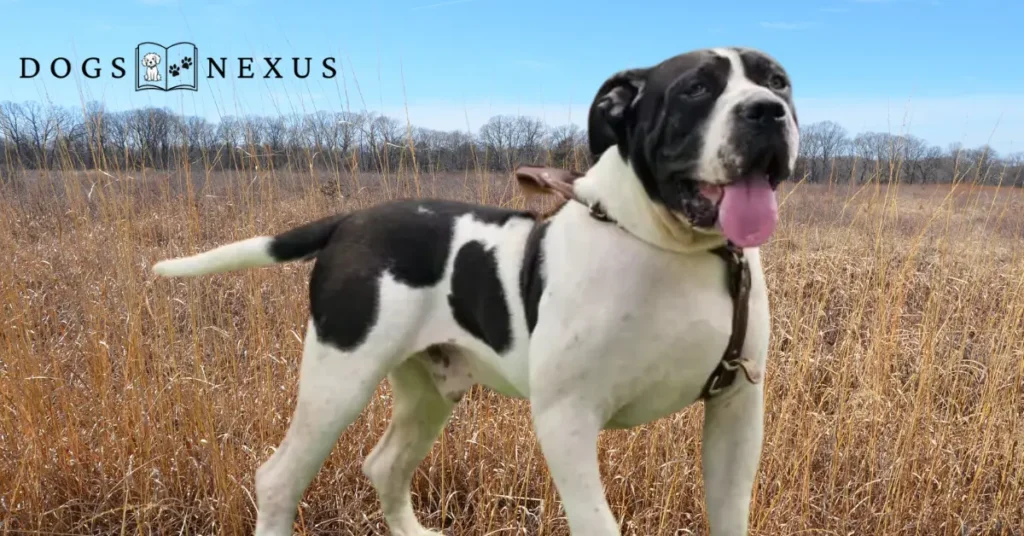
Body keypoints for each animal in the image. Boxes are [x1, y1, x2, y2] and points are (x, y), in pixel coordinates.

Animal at [151, 47, 802, 536]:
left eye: (779, 82)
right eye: (695, 89)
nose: (768, 112)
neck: (673, 249)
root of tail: (352, 220)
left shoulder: (736, 410)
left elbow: (730, 514)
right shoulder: (567, 417)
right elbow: (597, 522)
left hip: (427, 392)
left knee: (384, 465)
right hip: (338, 381)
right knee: (279, 478)